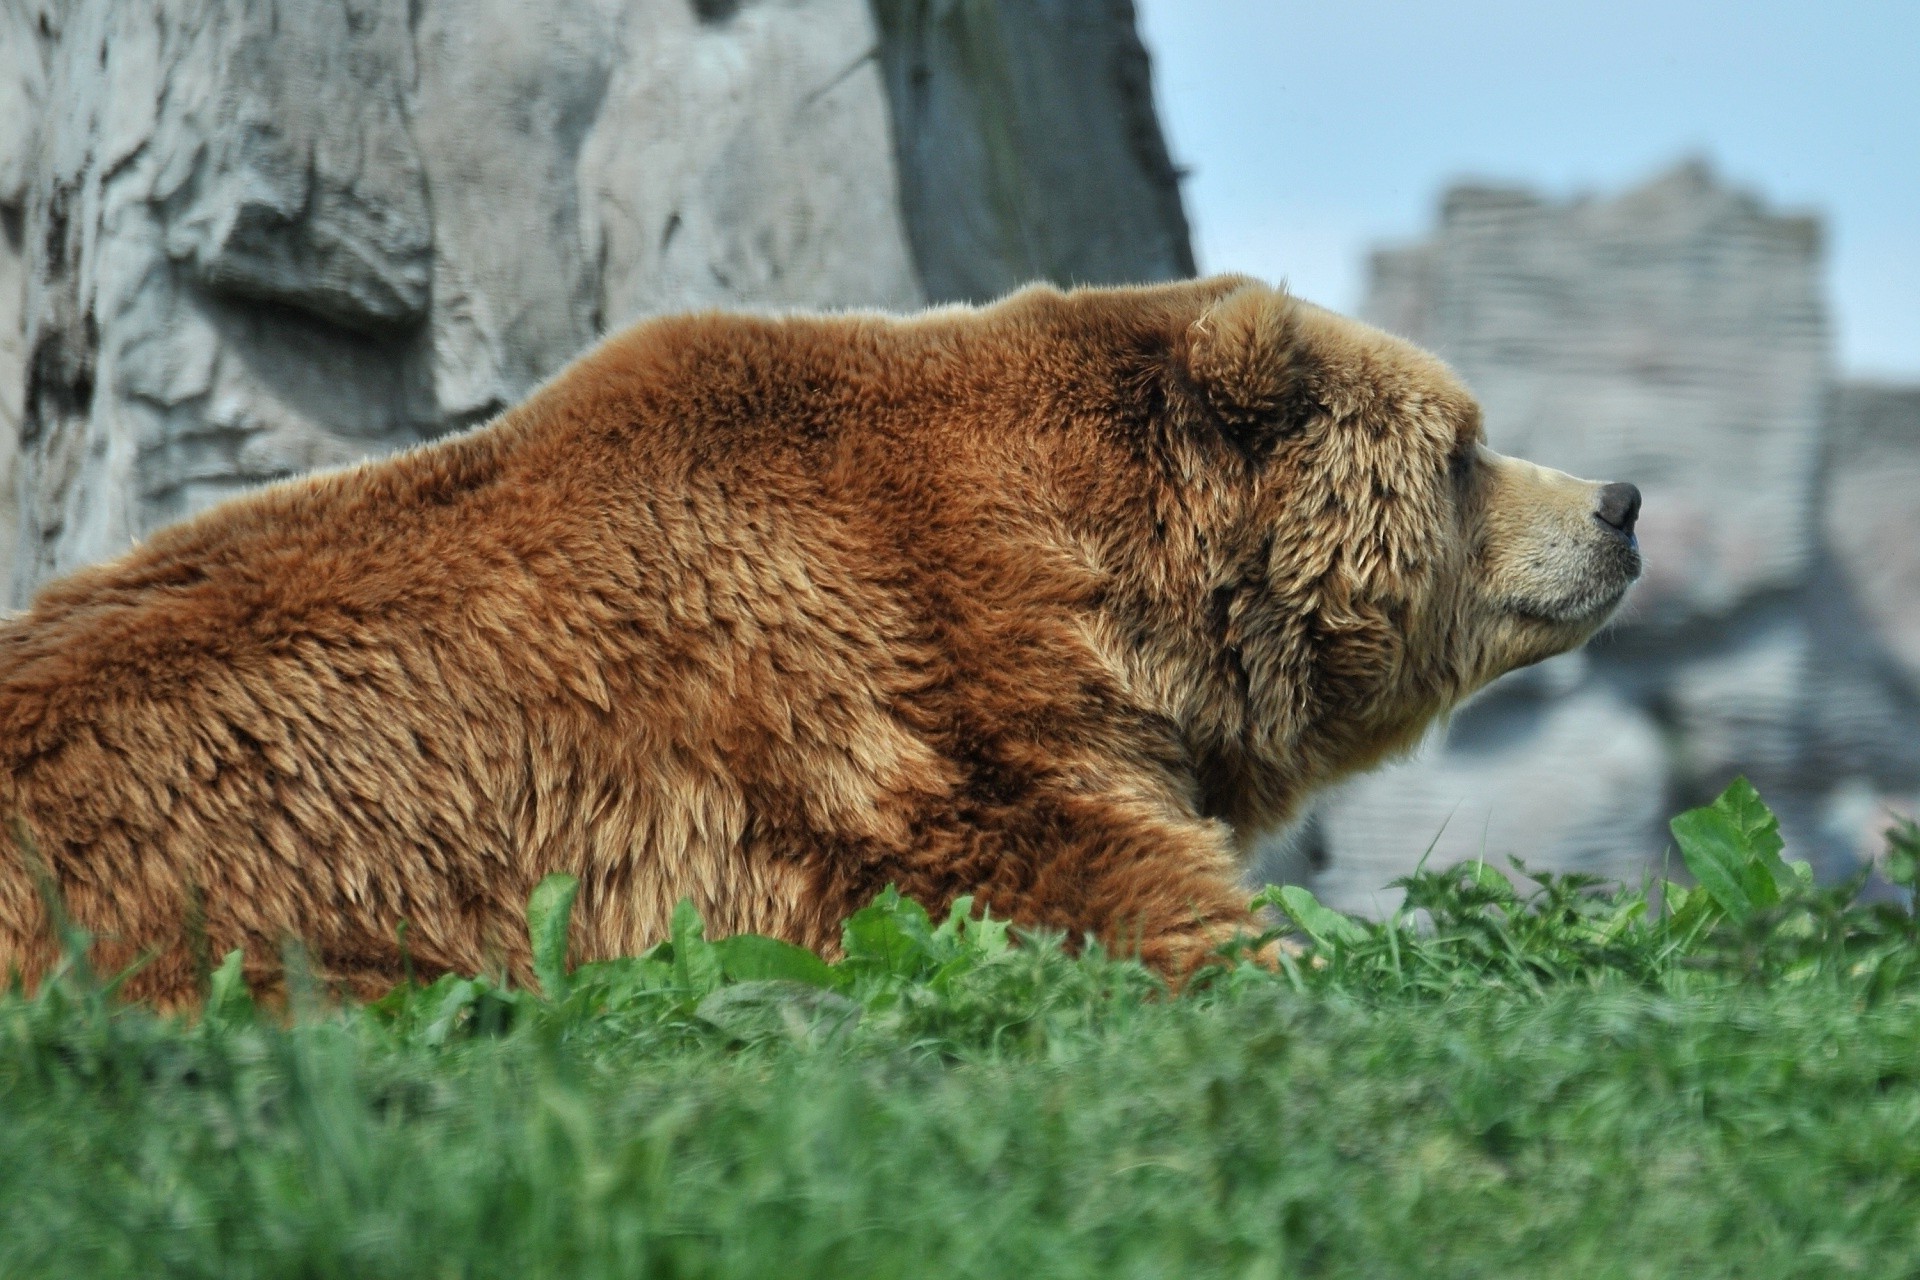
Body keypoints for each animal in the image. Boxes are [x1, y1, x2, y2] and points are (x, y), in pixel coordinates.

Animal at [0, 278, 1635, 997]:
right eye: (1465, 450)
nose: (1617, 502)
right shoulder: (882, 701)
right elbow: (1068, 878)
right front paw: (1297, 958)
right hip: (227, 889)